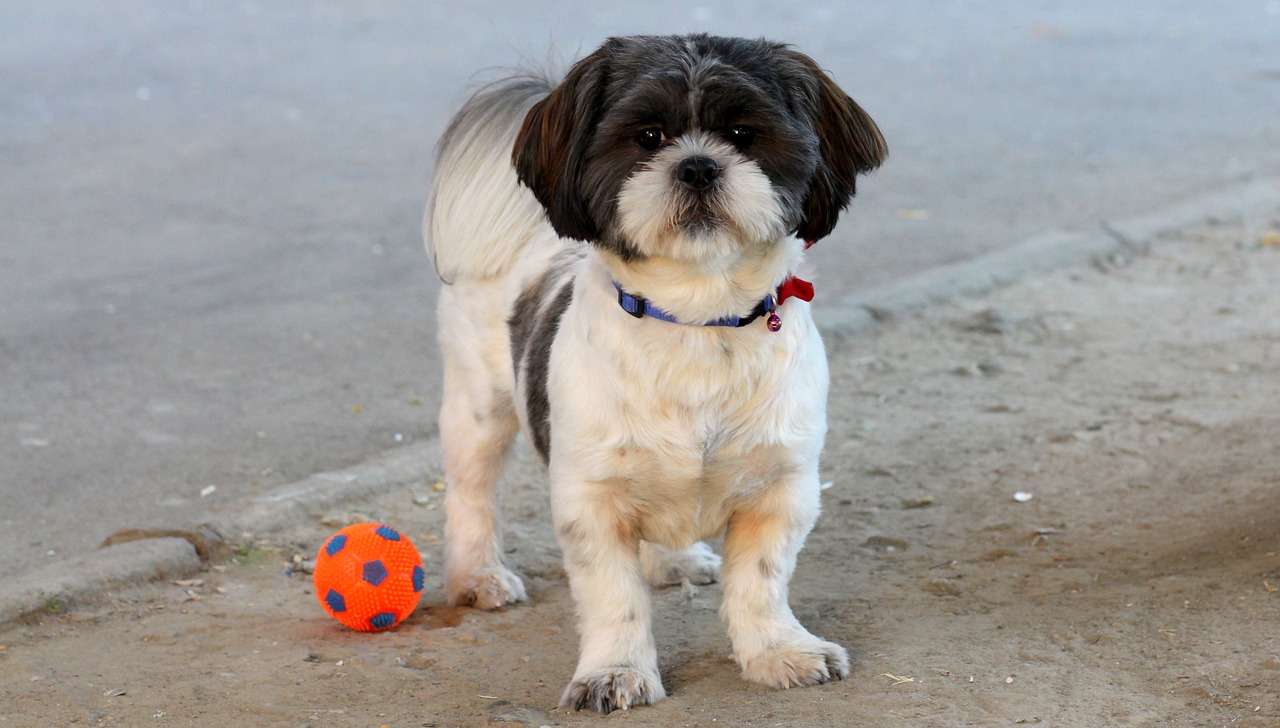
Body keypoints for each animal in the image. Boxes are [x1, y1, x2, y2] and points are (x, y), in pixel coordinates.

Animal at [424, 34, 885, 711]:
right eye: (647, 136)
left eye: (743, 133)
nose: (697, 165)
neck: (696, 320)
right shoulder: (590, 498)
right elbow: (612, 596)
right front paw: (614, 670)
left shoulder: (782, 488)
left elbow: (762, 581)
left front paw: (778, 649)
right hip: (478, 410)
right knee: (471, 492)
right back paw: (477, 573)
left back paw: (672, 560)